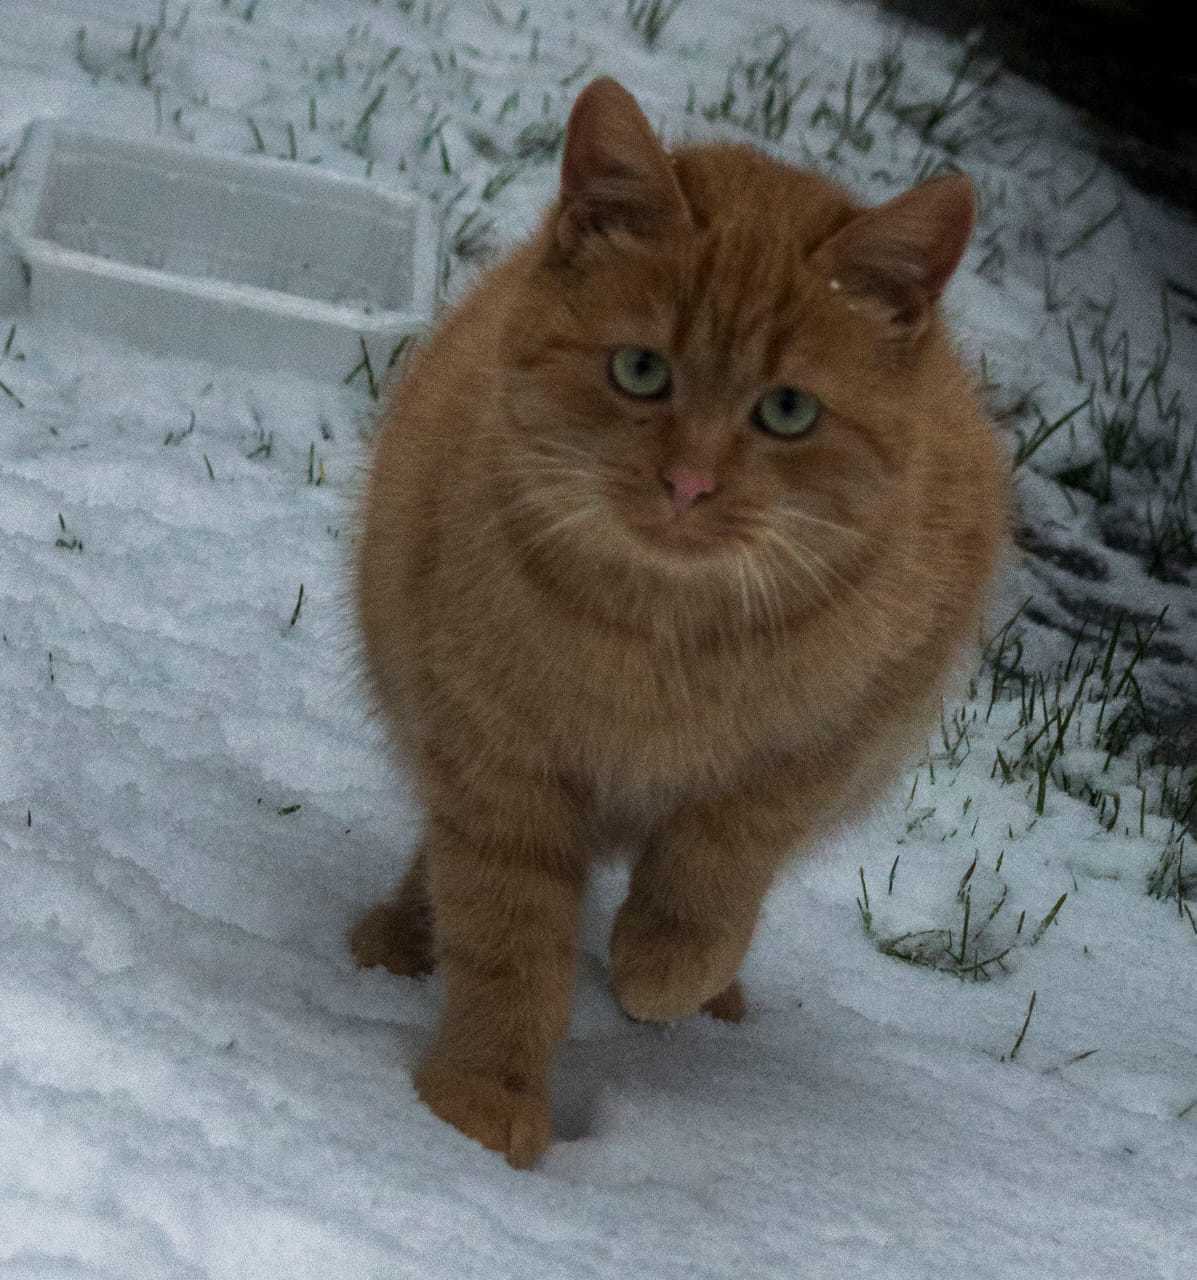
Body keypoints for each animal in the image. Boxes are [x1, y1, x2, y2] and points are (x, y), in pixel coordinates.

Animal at [350, 74, 1008, 1167]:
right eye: (641, 371)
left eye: (787, 410)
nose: (690, 482)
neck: (658, 639)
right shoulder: (493, 759)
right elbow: (507, 938)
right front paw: (479, 1105)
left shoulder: (831, 738)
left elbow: (719, 862)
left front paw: (662, 965)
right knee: (433, 855)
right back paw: (400, 935)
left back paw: (707, 995)